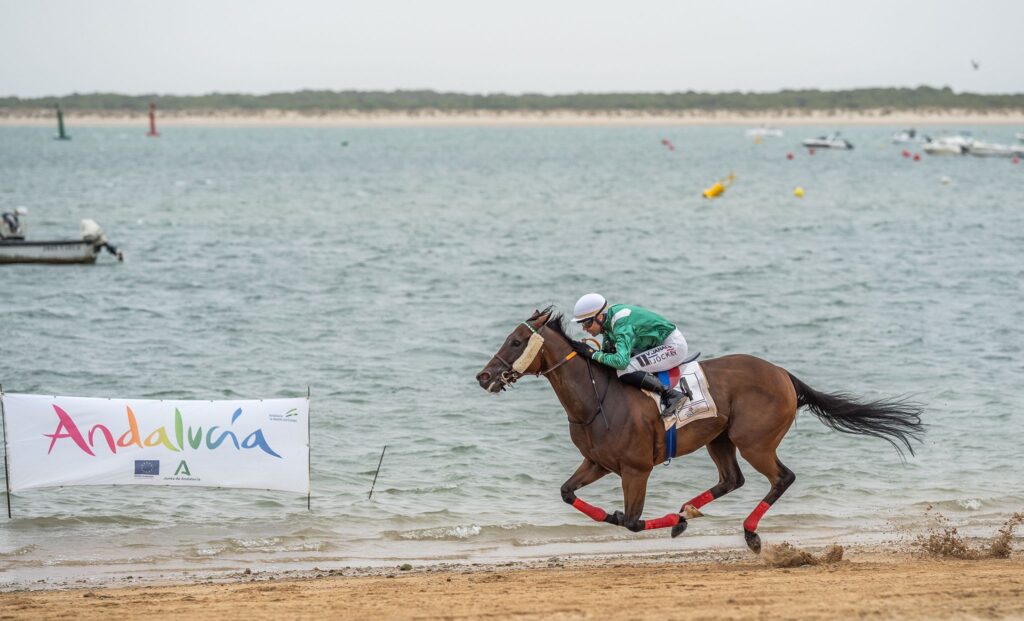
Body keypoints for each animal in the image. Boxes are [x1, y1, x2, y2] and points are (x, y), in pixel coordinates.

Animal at [475, 307, 924, 553]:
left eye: (516, 341)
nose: (484, 376)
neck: (597, 398)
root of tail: (783, 374)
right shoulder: (597, 462)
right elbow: (568, 494)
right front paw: (672, 518)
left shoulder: (636, 470)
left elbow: (631, 521)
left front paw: (642, 517)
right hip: (720, 440)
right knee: (732, 479)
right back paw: (688, 511)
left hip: (754, 441)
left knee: (782, 477)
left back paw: (747, 533)